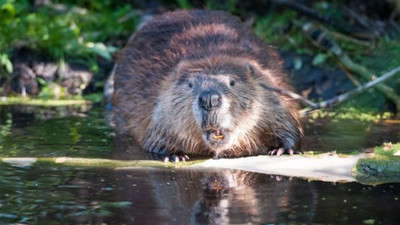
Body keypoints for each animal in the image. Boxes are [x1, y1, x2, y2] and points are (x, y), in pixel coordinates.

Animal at [112, 10, 304, 158]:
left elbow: (289, 125)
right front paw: (174, 155)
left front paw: (281, 149)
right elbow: (153, 139)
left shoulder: (272, 89)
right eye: (190, 84)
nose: (209, 99)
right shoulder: (160, 107)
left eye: (232, 81)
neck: (212, 57)